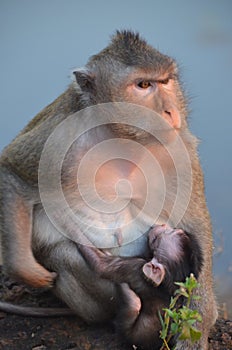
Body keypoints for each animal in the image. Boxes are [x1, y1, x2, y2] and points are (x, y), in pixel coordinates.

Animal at [0, 30, 218, 350]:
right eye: (143, 85)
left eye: (166, 81)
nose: (170, 111)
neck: (122, 135)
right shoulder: (59, 136)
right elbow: (12, 171)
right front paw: (27, 271)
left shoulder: (180, 149)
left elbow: (195, 227)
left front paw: (196, 329)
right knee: (66, 255)